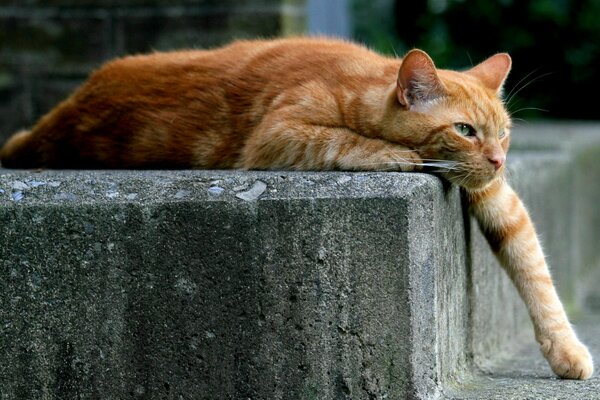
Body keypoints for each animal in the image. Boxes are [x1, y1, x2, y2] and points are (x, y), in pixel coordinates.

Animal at [0, 36, 592, 378]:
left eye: (504, 133)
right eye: (465, 130)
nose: (497, 160)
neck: (362, 80)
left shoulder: (498, 198)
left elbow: (535, 272)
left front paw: (567, 350)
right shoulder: (279, 134)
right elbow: (353, 143)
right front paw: (399, 154)